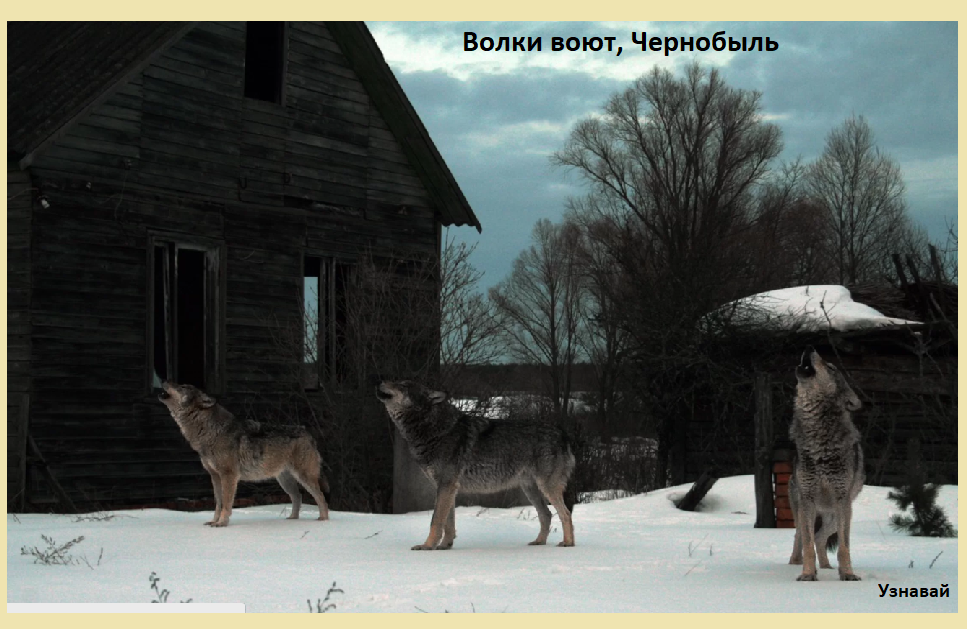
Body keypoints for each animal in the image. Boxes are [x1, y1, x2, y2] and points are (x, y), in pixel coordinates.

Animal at [159, 381, 330, 527]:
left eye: (182, 387)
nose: (165, 381)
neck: (209, 431)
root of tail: (308, 433)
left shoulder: (229, 475)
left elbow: (226, 503)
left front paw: (222, 523)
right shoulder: (215, 476)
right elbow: (218, 503)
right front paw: (214, 521)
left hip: (304, 477)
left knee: (321, 497)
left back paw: (323, 520)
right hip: (284, 480)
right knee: (297, 497)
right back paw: (293, 519)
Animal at [375, 380, 576, 550]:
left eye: (403, 385)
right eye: (398, 381)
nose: (380, 381)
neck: (435, 429)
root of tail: (563, 433)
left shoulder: (446, 486)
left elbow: (436, 520)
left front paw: (427, 546)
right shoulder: (448, 488)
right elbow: (448, 522)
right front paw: (445, 546)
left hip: (546, 487)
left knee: (565, 514)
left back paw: (568, 543)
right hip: (530, 489)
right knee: (547, 515)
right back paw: (539, 542)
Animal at [787, 348, 864, 581]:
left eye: (830, 367)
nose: (809, 348)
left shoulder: (842, 500)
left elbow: (844, 547)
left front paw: (847, 574)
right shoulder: (808, 499)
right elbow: (808, 544)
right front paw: (807, 575)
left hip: (835, 516)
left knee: (820, 538)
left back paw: (828, 567)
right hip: (803, 510)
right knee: (800, 536)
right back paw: (795, 563)